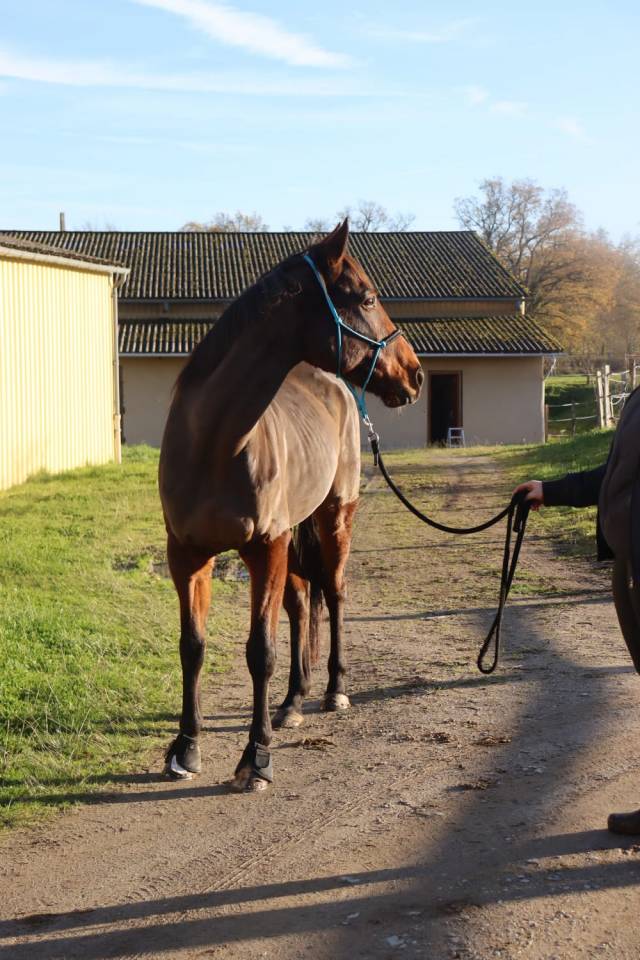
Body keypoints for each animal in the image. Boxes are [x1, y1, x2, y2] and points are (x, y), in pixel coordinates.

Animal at [159, 220, 423, 792]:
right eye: (367, 297)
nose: (415, 374)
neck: (215, 444)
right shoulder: (187, 555)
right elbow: (192, 647)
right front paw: (186, 748)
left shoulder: (265, 547)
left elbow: (261, 651)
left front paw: (255, 758)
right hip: (295, 536)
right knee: (303, 605)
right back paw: (293, 702)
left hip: (332, 521)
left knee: (336, 594)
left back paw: (334, 691)